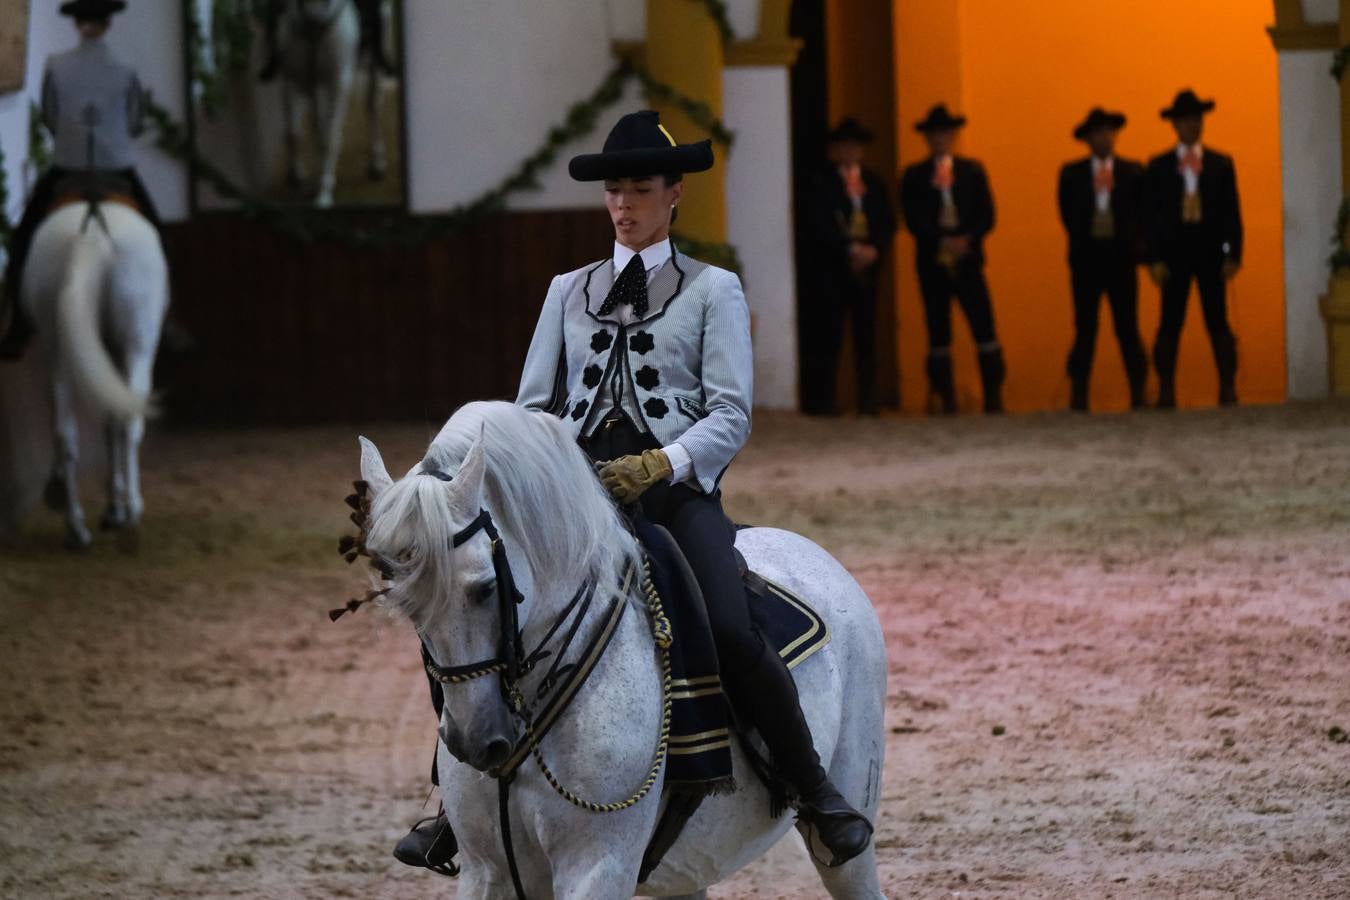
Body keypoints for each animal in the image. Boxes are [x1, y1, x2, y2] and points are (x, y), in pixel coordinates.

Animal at [22, 203, 168, 550]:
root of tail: (94, 234)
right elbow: (114, 423)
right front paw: (116, 508)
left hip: (58, 352)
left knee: (65, 432)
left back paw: (76, 527)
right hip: (137, 347)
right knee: (129, 421)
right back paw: (132, 510)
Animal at [356, 402, 885, 900]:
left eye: (485, 588)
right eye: (403, 601)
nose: (473, 742)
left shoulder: (597, 867)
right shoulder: (487, 871)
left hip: (850, 832)